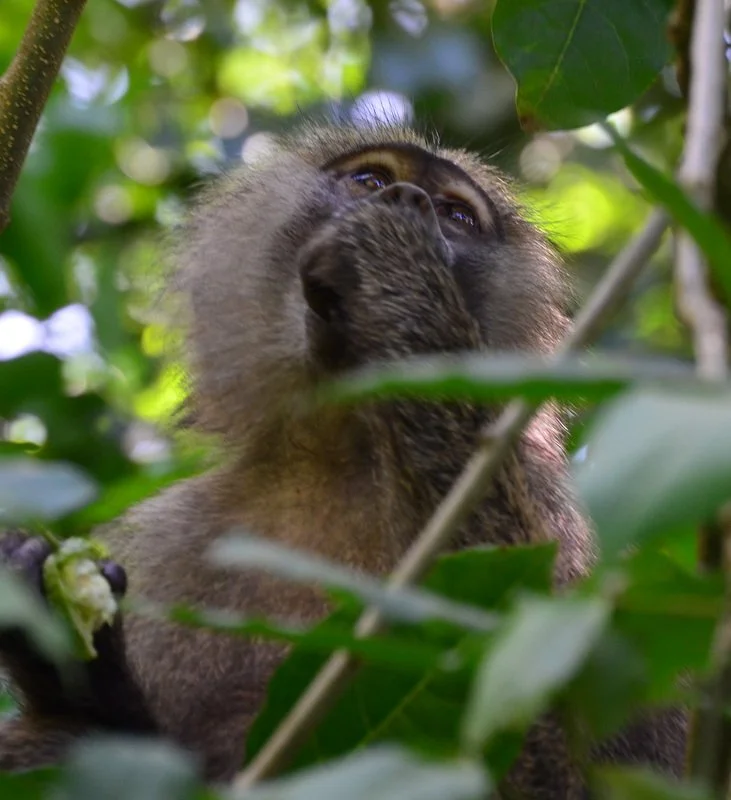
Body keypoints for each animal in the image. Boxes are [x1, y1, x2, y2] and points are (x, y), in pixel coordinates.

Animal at [0, 121, 686, 796]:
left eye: (456, 216)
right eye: (371, 180)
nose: (407, 201)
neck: (340, 457)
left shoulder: (565, 530)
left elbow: (547, 771)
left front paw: (401, 277)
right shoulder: (174, 535)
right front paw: (69, 661)